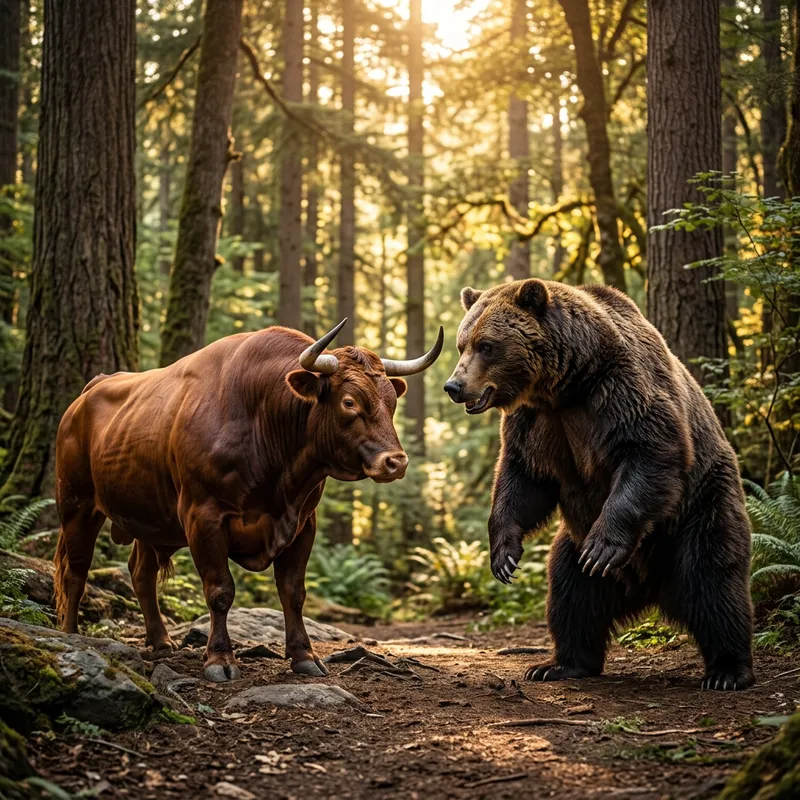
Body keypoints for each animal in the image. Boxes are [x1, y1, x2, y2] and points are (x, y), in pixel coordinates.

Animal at [53, 320, 443, 681]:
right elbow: (220, 591)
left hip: (148, 518)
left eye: (391, 402)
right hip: (76, 504)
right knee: (76, 571)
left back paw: (161, 641)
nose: (396, 461)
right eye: (350, 402)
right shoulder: (203, 517)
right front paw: (220, 659)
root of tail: (87, 393)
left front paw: (304, 656)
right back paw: (70, 634)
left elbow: (293, 592)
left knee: (141, 574)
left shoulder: (303, 523)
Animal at [444, 278, 755, 691]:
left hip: (702, 503)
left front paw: (603, 547)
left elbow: (650, 449)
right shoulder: (536, 422)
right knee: (571, 592)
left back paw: (728, 671)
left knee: (714, 579)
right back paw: (559, 664)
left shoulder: (620, 390)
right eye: (462, 343)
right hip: (572, 542)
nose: (454, 385)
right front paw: (504, 556)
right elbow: (523, 479)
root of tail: (649, 586)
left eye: (487, 345)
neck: (566, 385)